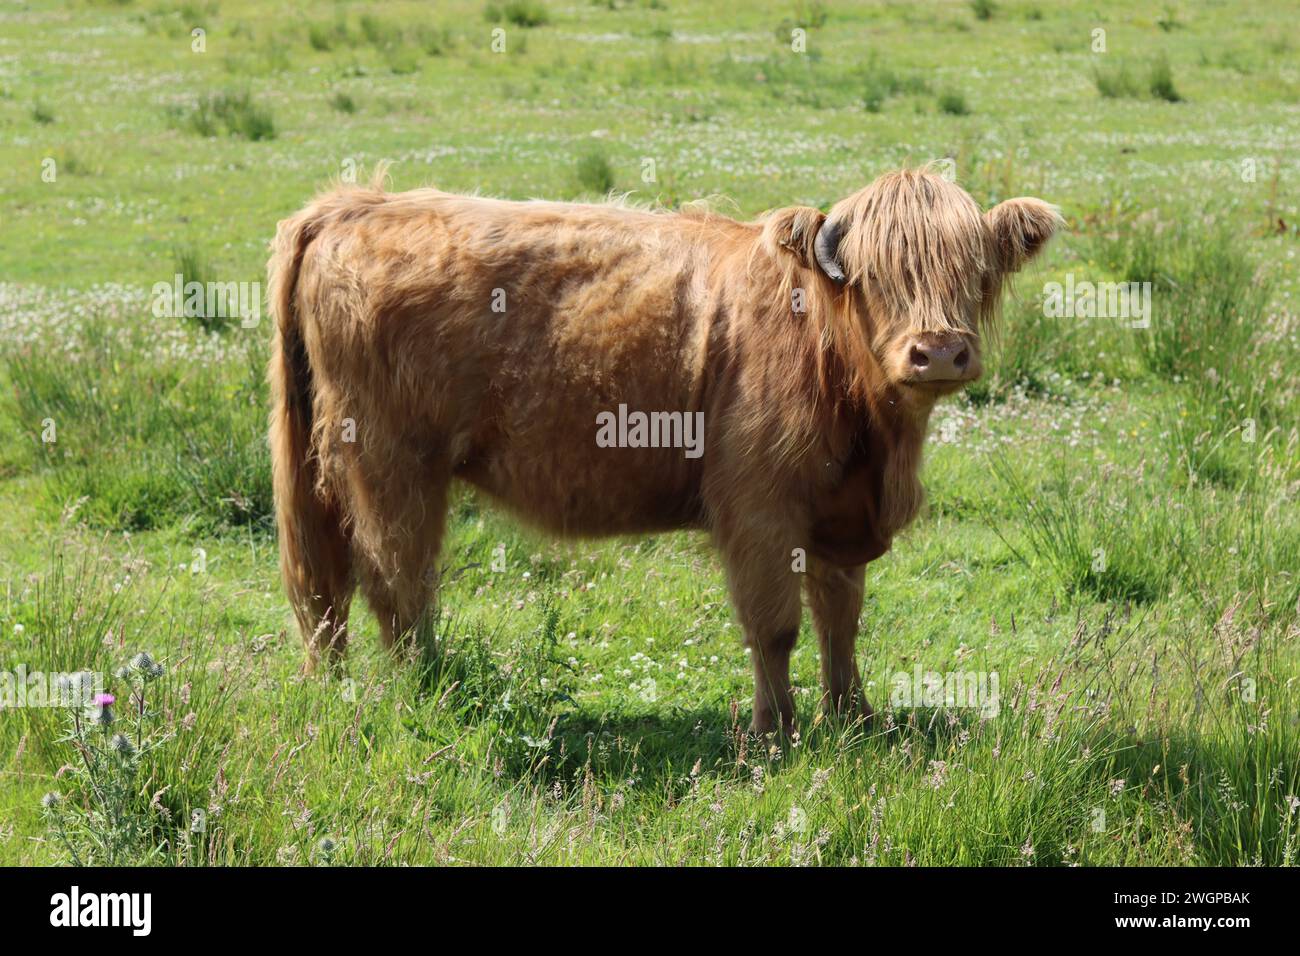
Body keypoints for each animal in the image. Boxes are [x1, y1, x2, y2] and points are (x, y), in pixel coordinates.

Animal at [267, 166, 1060, 736]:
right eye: (873, 276)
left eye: (974, 271)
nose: (939, 352)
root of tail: (352, 206)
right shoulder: (759, 508)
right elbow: (775, 627)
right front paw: (777, 732)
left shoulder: (837, 514)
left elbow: (841, 618)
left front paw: (853, 718)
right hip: (390, 463)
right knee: (394, 581)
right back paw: (427, 690)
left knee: (327, 584)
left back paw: (340, 690)